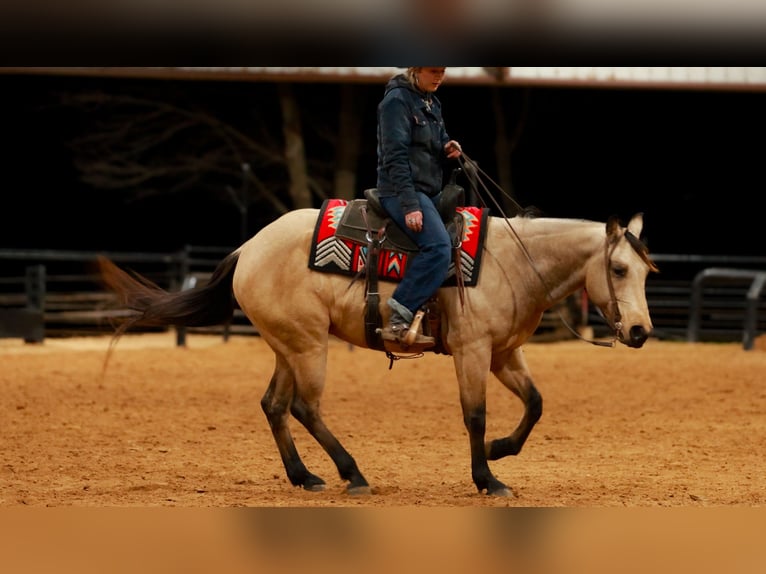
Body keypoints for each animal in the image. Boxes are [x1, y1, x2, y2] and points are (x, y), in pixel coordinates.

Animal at [97, 207, 658, 497]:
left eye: (647, 270)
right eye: (618, 269)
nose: (639, 331)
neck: (511, 261)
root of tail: (248, 247)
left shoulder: (503, 353)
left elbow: (536, 403)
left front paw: (501, 449)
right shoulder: (472, 351)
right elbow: (474, 415)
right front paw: (487, 478)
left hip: (287, 345)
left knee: (275, 405)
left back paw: (305, 477)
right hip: (308, 345)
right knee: (304, 407)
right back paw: (352, 473)